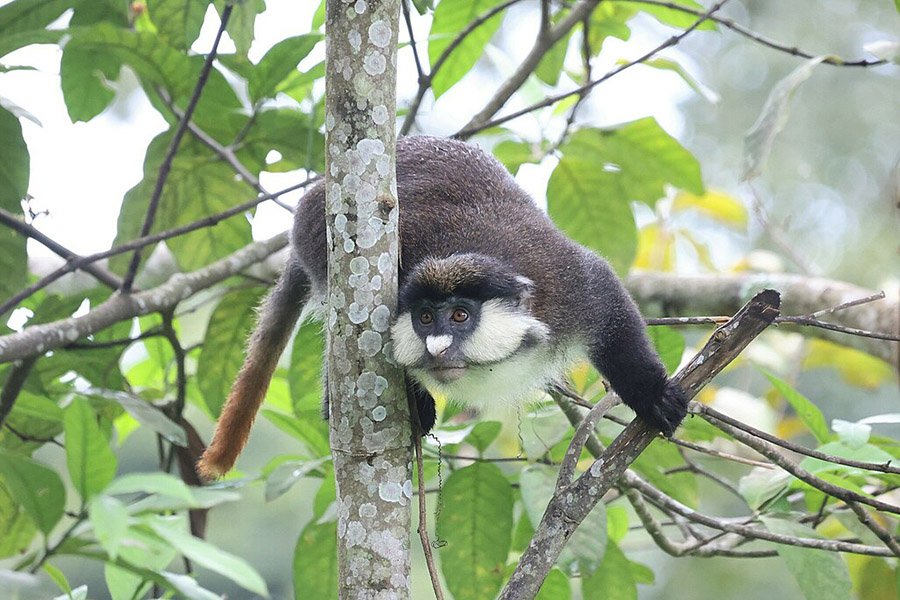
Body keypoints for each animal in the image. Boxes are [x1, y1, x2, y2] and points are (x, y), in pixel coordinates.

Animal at [197, 136, 687, 479]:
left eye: (459, 316)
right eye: (425, 318)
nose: (435, 346)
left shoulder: (571, 287)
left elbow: (611, 305)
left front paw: (651, 395)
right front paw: (414, 401)